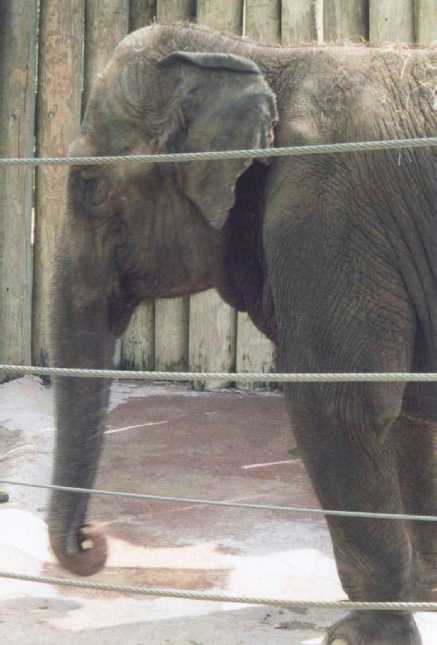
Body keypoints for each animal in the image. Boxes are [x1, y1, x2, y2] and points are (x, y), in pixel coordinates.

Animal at [48, 22, 437, 645]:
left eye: (87, 182)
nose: (92, 542)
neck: (258, 54)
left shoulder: (327, 218)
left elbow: (344, 407)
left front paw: (358, 637)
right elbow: (403, 411)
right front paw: (421, 595)